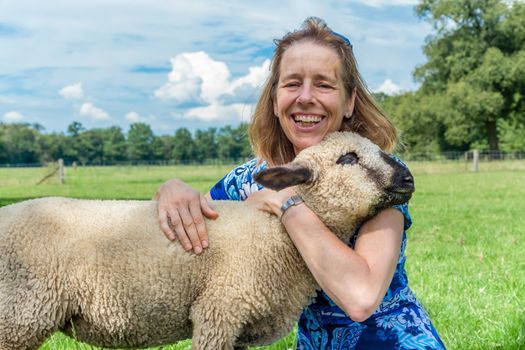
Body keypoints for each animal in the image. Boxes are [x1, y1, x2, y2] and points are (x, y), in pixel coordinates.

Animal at [0, 132, 414, 350]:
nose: (408, 178)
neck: (276, 236)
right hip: (19, 313)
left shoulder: (241, 328)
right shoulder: (219, 311)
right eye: (348, 158)